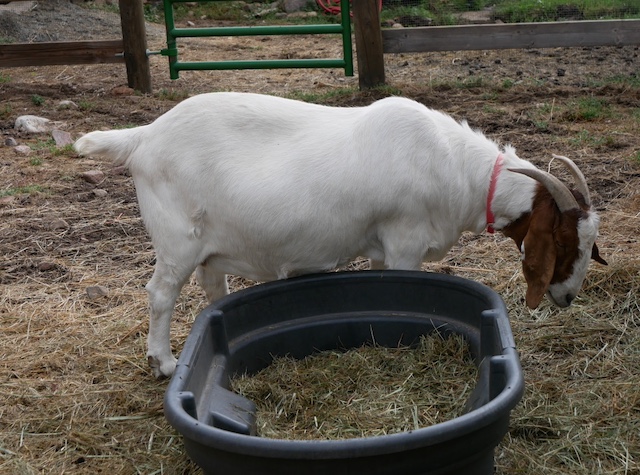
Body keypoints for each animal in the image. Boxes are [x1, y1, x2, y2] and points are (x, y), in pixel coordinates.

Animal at [74, 93, 604, 380]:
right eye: (564, 240)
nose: (568, 297)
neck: (452, 167)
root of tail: (144, 136)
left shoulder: (382, 247)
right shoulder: (405, 240)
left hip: (210, 246)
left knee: (210, 286)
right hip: (176, 238)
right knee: (160, 294)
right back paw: (162, 362)